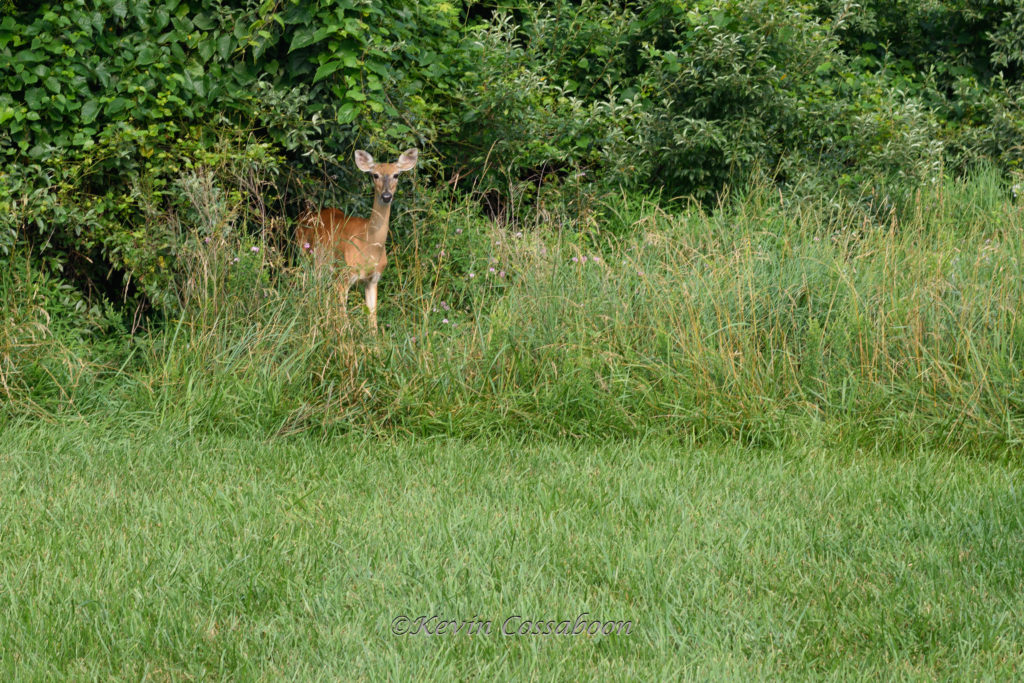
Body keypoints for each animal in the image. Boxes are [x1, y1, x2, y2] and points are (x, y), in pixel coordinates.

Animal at [294, 148, 417, 331]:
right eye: (375, 175)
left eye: (396, 175)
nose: (386, 196)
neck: (369, 245)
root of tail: (302, 219)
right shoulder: (344, 276)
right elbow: (344, 320)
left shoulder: (373, 279)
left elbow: (373, 321)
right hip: (307, 258)